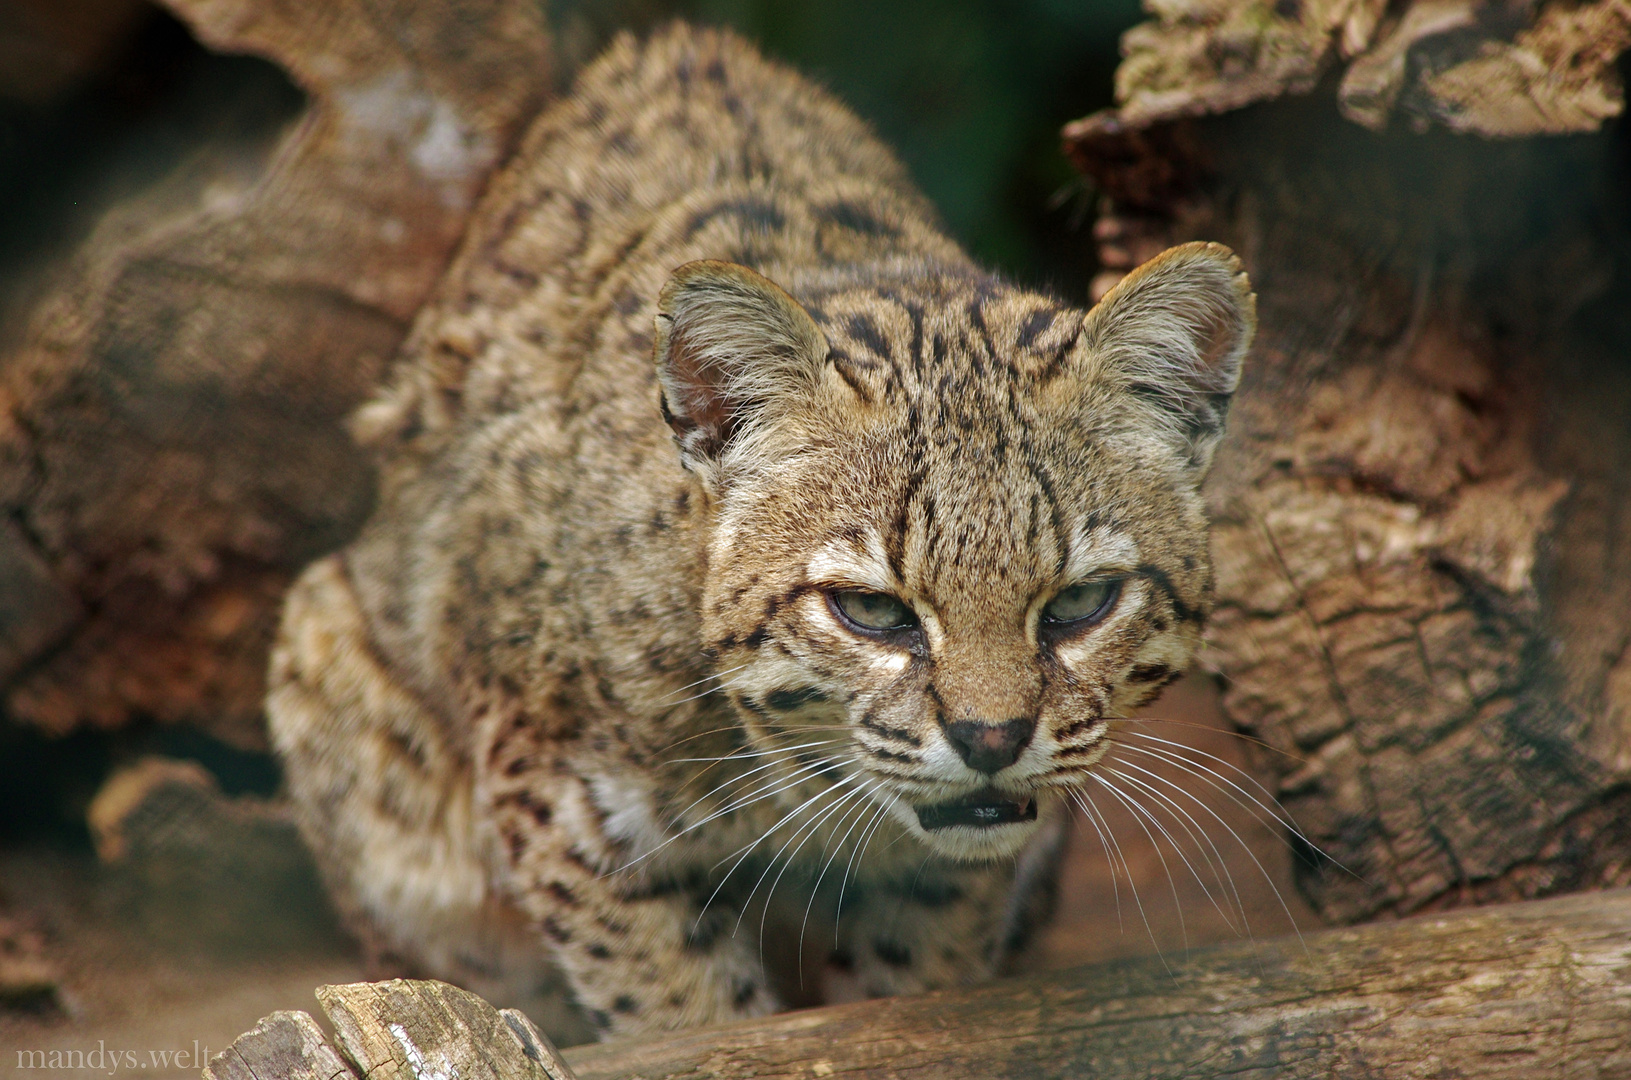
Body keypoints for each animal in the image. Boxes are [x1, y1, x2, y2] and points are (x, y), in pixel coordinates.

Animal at [270, 23, 1259, 1044]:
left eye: (1081, 603)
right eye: (870, 611)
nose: (990, 740)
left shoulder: (959, 861)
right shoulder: (562, 805)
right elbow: (680, 1011)